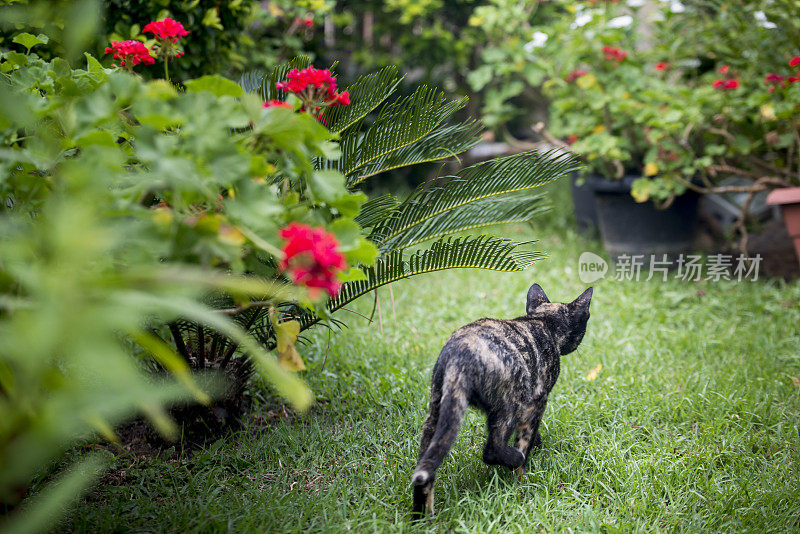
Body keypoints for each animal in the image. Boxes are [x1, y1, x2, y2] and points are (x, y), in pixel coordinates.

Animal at [412, 284, 592, 520]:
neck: (543, 322)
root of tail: (459, 353)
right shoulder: (536, 403)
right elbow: (526, 438)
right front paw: (521, 478)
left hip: (437, 410)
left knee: (425, 466)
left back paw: (421, 517)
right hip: (508, 405)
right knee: (492, 449)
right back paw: (515, 459)